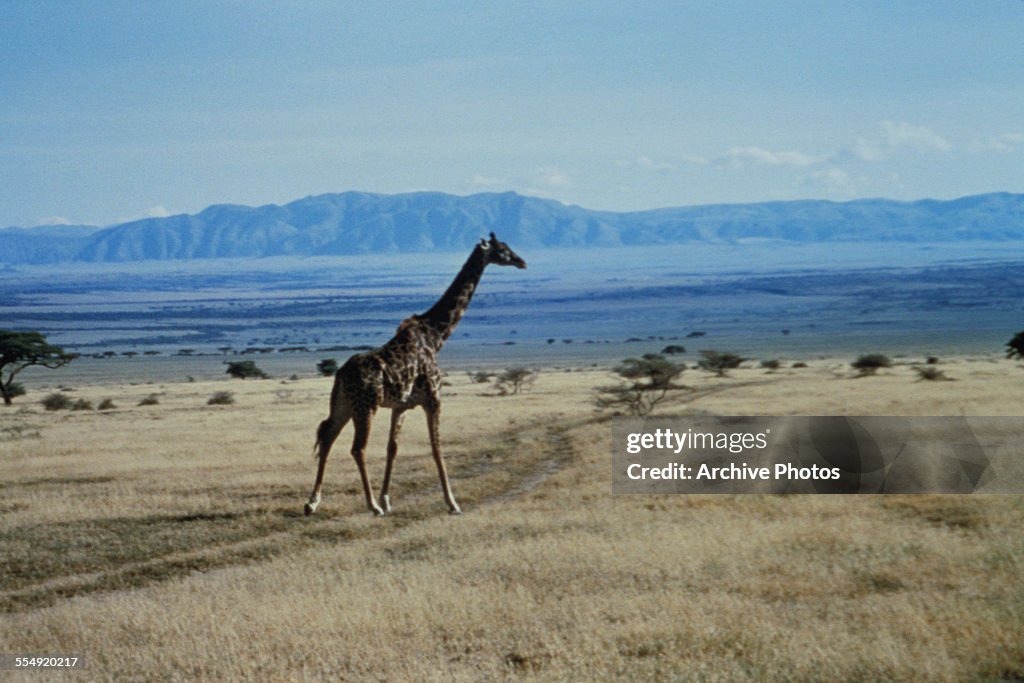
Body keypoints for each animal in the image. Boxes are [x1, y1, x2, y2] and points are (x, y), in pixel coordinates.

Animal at [301, 232, 528, 516]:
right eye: (503, 249)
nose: (522, 262)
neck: (436, 335)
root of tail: (340, 375)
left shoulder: (401, 406)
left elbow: (392, 448)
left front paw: (388, 498)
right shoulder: (434, 399)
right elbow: (436, 448)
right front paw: (452, 503)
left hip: (343, 405)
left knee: (327, 438)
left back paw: (312, 503)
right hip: (366, 406)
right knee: (357, 448)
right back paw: (372, 505)